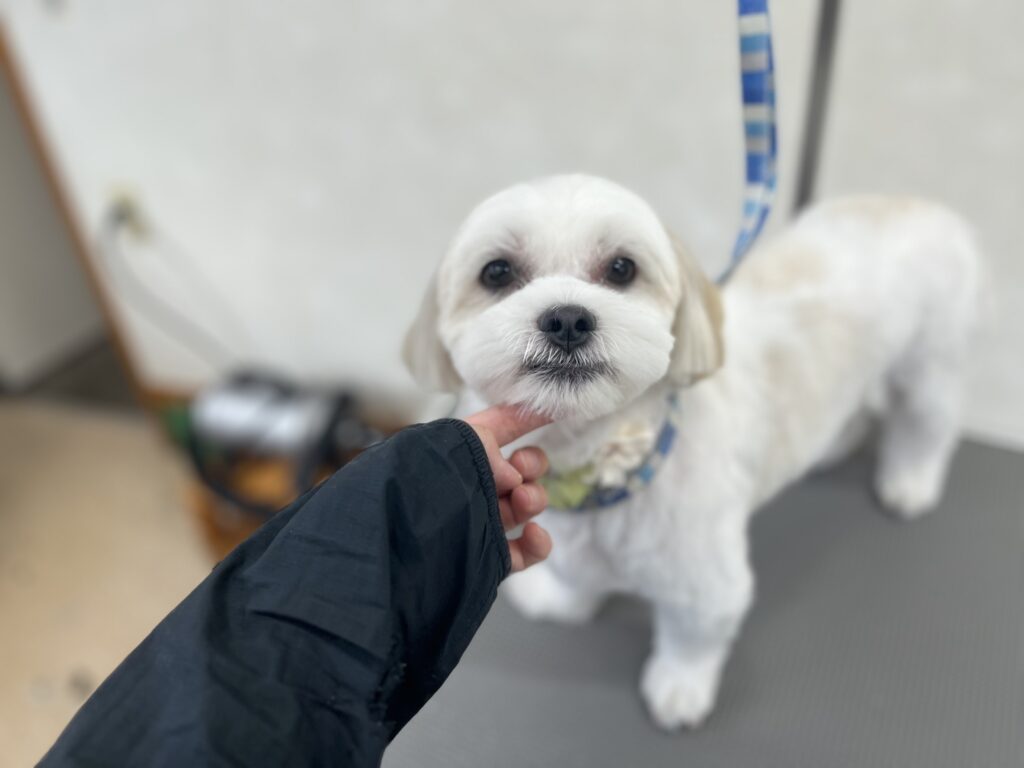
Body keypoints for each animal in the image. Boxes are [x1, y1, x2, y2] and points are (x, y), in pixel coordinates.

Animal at [403, 174, 979, 729]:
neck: (601, 459)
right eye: (497, 272)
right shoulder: (575, 544)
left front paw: (679, 689)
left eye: (622, 268)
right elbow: (576, 578)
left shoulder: (706, 579)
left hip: (933, 363)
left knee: (927, 425)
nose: (567, 319)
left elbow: (693, 636)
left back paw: (911, 483)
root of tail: (923, 205)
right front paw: (559, 602)